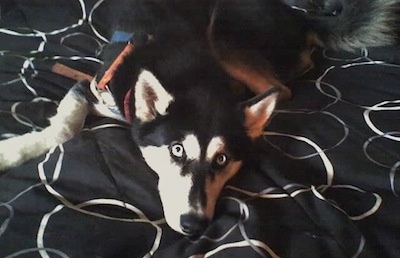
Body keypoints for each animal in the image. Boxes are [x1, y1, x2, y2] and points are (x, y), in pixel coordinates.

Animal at [0, 0, 400, 237]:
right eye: (176, 150)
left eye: (222, 160)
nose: (195, 226)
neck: (188, 73)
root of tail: (301, 16)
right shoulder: (95, 87)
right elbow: (66, 126)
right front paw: (14, 151)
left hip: (223, 31)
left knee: (280, 87)